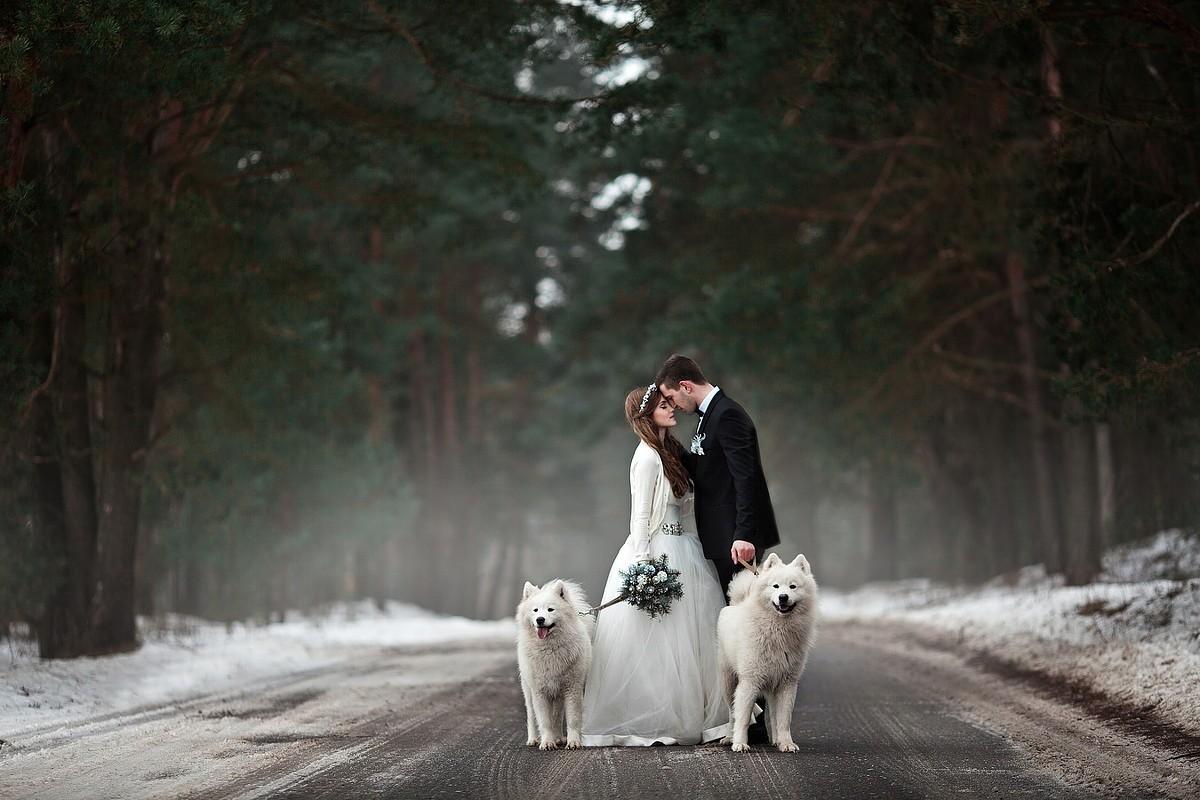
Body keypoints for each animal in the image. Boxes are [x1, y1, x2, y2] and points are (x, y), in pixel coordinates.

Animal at [513, 578, 592, 748]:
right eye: (535, 610)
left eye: (550, 610)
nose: (540, 620)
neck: (550, 649)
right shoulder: (539, 692)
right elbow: (544, 721)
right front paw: (547, 742)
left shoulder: (572, 688)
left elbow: (572, 719)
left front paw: (573, 742)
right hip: (528, 691)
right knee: (531, 716)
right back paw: (533, 739)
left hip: (559, 694)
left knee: (557, 715)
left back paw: (559, 737)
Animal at [715, 554, 820, 753]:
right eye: (775, 586)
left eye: (793, 586)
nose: (783, 597)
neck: (778, 630)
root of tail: (736, 604)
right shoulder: (749, 682)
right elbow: (743, 717)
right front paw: (740, 743)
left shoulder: (787, 683)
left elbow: (783, 719)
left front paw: (786, 743)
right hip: (728, 681)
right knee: (732, 713)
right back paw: (729, 737)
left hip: (772, 687)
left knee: (772, 714)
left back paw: (776, 740)